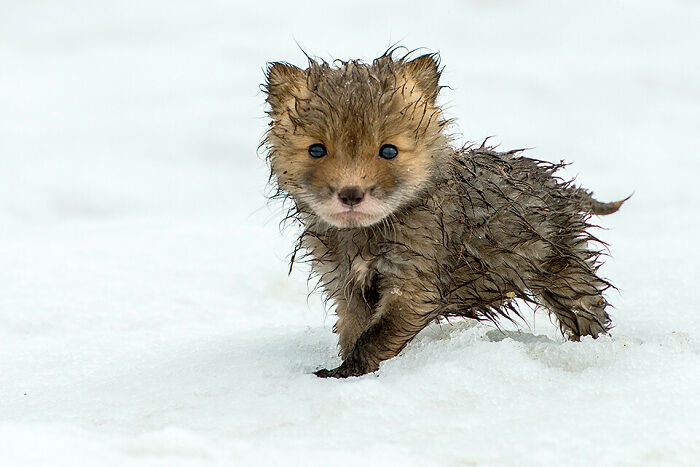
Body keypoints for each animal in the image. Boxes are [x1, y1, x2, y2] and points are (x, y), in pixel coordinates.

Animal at [262, 49, 627, 378]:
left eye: (389, 151)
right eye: (316, 149)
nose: (351, 193)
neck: (364, 237)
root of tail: (558, 187)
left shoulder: (417, 280)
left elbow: (376, 336)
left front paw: (348, 371)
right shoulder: (343, 281)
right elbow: (353, 329)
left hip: (563, 267)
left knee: (587, 307)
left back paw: (594, 349)